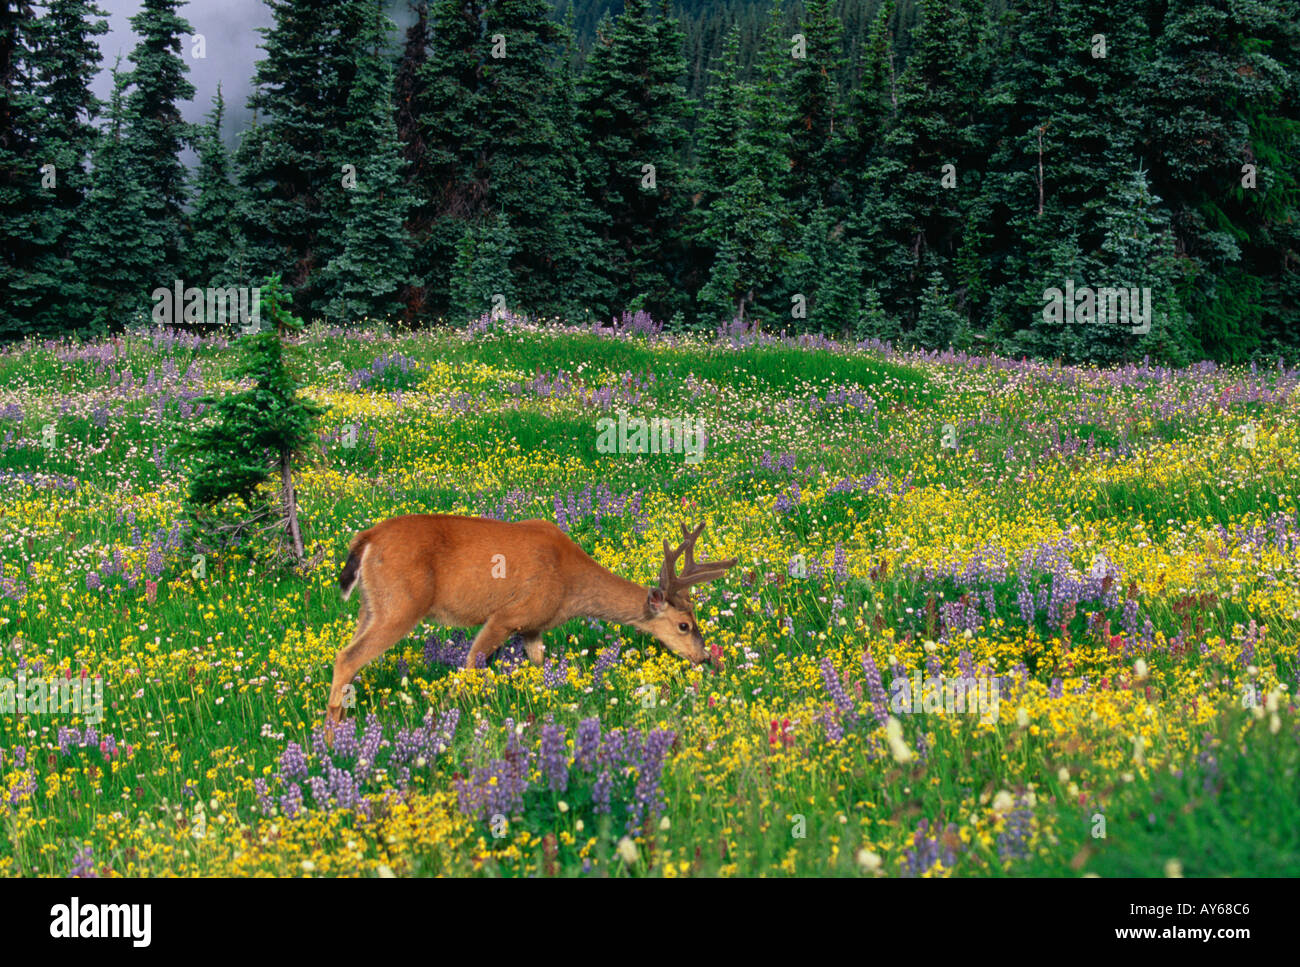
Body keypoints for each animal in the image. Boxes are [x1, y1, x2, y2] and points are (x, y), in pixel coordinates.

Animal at [325, 517, 738, 722]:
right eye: (684, 625)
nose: (704, 658)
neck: (569, 584)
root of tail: (366, 539)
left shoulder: (533, 627)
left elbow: (538, 667)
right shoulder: (508, 615)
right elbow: (470, 665)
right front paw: (452, 721)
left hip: (370, 606)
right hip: (401, 605)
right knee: (346, 658)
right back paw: (331, 742)